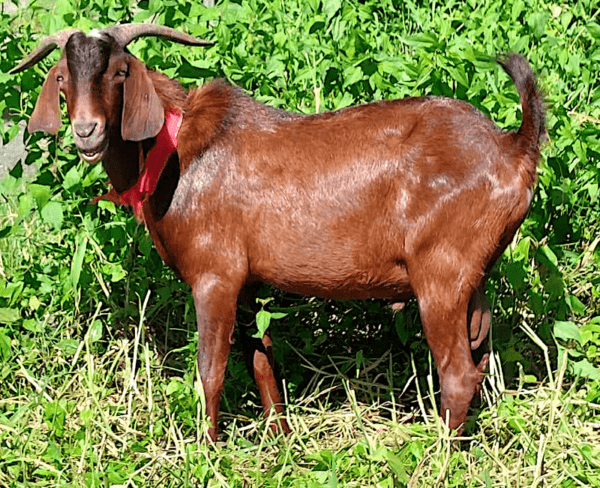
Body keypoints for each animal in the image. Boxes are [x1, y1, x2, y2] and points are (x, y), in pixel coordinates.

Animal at [11, 24, 548, 440]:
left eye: (120, 72)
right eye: (62, 77)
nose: (87, 131)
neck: (176, 154)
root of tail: (513, 148)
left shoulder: (215, 275)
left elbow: (211, 368)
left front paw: (207, 448)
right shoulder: (248, 282)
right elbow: (261, 359)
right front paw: (281, 438)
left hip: (441, 272)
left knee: (458, 374)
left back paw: (437, 459)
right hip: (473, 277)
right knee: (479, 357)